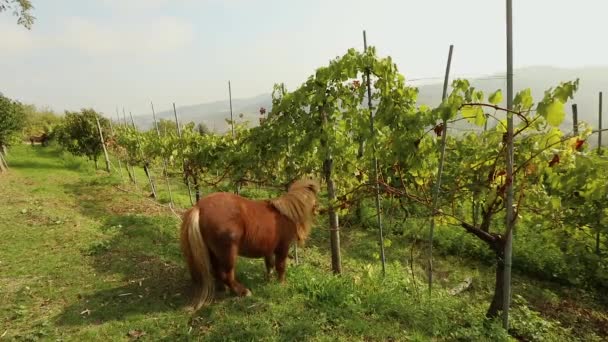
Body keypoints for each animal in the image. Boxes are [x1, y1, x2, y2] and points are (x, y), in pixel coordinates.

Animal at [178, 179, 320, 310]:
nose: (320, 210)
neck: (286, 213)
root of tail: (199, 207)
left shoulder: (268, 249)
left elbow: (269, 265)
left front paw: (269, 280)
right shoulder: (282, 248)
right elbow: (280, 266)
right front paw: (281, 283)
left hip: (213, 252)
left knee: (216, 271)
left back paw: (222, 288)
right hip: (228, 253)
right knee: (227, 275)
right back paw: (242, 291)